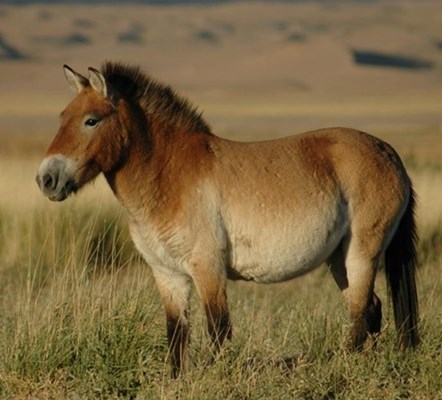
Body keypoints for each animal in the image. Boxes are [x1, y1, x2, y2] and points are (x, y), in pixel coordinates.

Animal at [36, 62, 420, 378]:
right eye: (61, 117)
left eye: (91, 120)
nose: (46, 179)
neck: (168, 176)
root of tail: (389, 153)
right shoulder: (167, 274)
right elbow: (176, 335)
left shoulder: (208, 268)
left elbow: (218, 330)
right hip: (338, 259)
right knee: (371, 308)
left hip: (362, 254)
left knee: (360, 313)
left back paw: (346, 368)